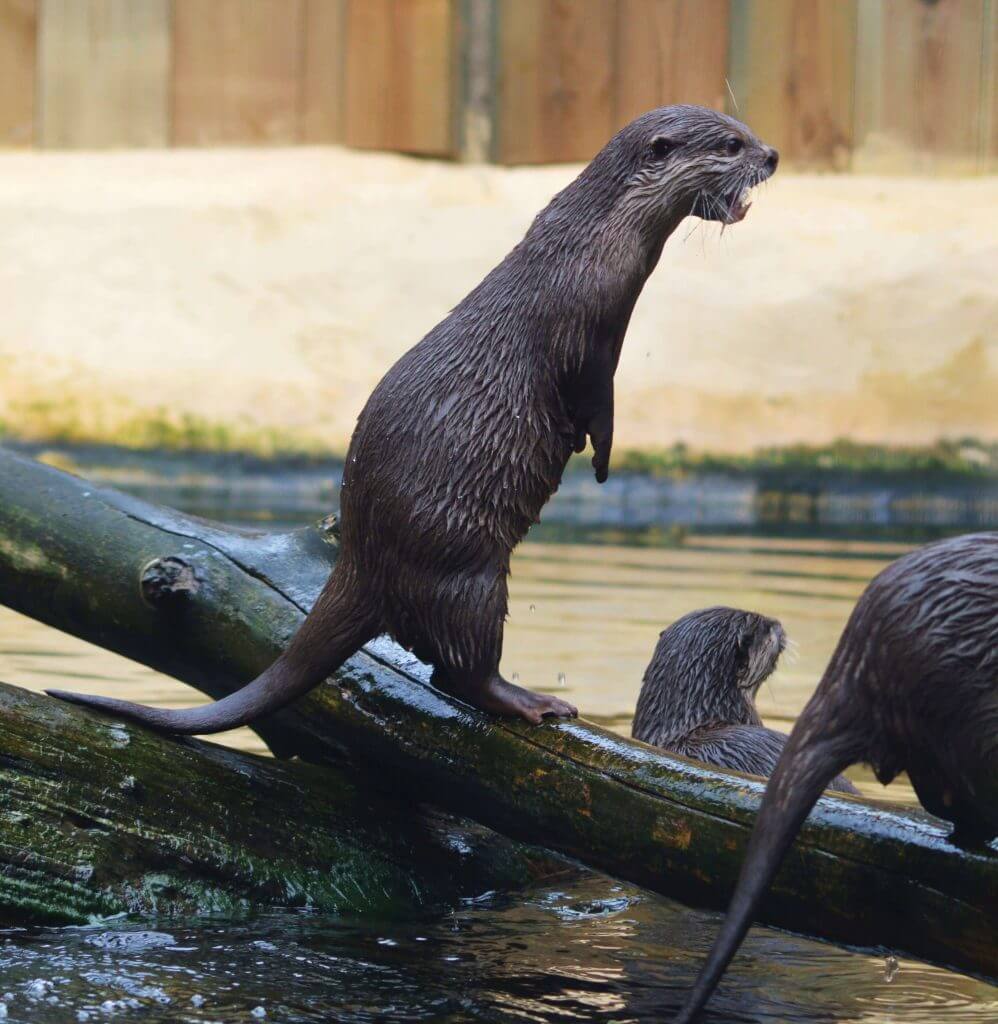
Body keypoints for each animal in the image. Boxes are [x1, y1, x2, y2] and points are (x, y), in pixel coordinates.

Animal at [46, 108, 782, 733]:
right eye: (730, 145)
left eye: (746, 129)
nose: (773, 154)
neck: (593, 243)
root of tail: (362, 559)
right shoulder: (588, 337)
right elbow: (598, 406)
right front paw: (599, 460)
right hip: (468, 572)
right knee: (462, 669)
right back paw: (531, 700)